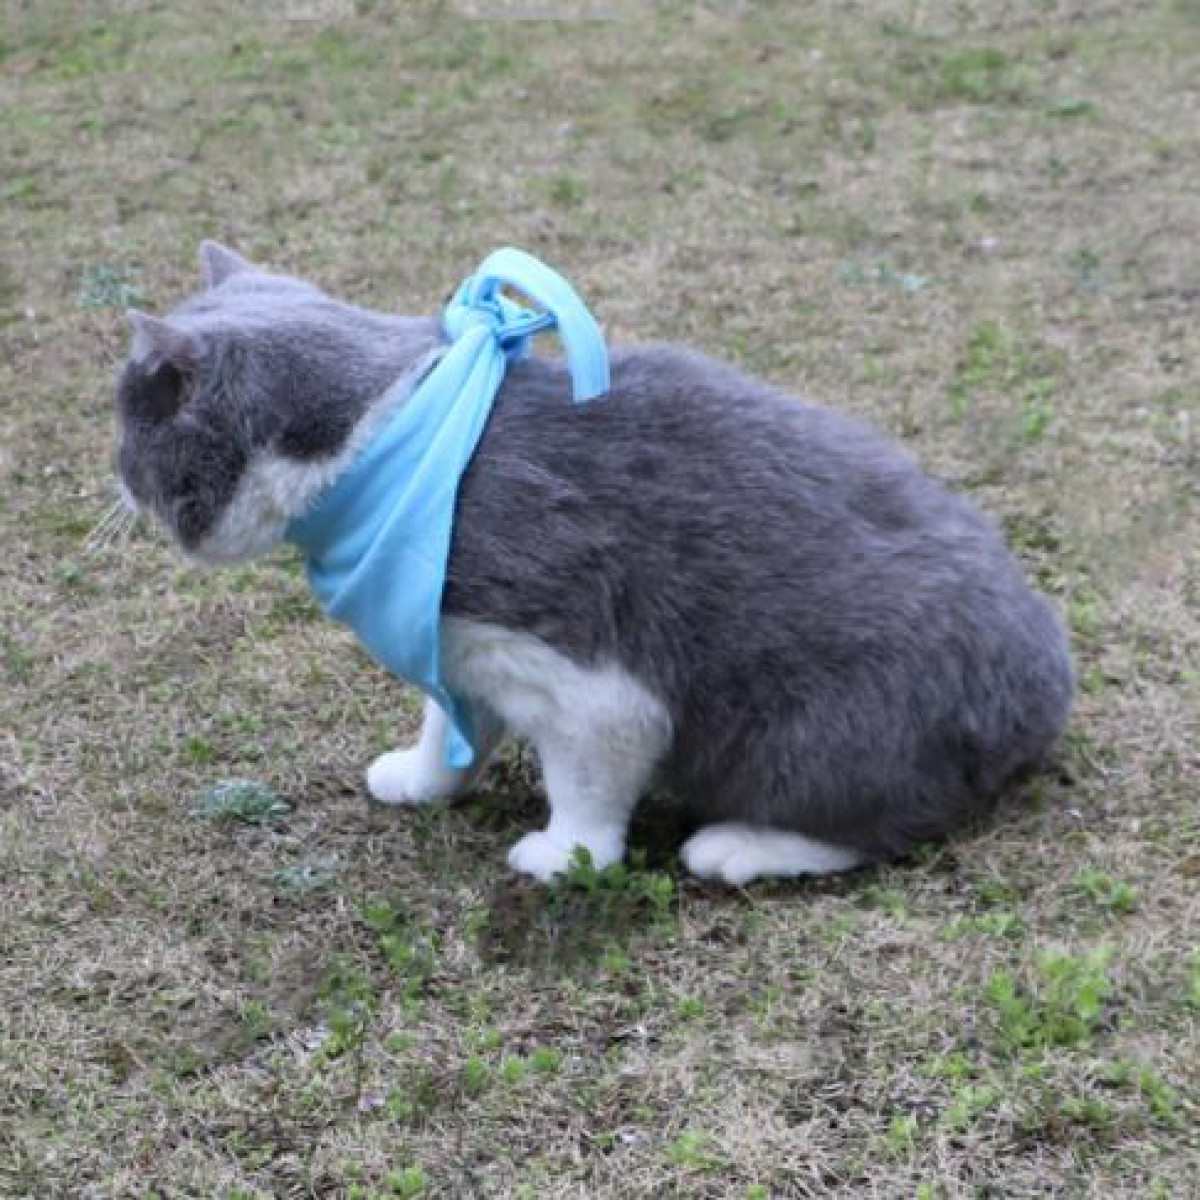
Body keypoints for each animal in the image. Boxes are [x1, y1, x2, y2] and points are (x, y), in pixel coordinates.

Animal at [112, 241, 1075, 883]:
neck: (390, 438)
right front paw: (421, 780)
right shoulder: (459, 647)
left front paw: (564, 853)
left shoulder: (581, 671)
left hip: (811, 726)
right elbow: (445, 727)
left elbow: (586, 775)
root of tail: (1045, 692)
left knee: (873, 820)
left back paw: (737, 846)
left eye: (131, 427)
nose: (114, 476)